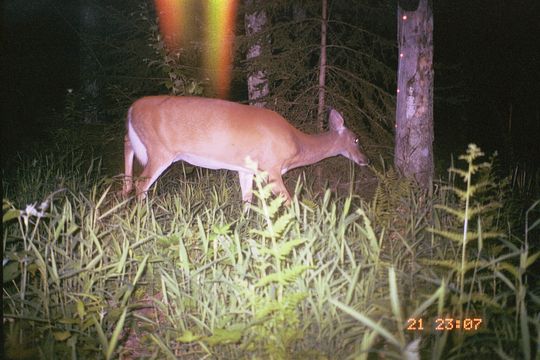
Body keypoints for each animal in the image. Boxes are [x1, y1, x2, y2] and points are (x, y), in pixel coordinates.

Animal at [123, 96, 370, 205]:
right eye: (356, 139)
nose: (366, 160)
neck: (298, 144)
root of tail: (132, 107)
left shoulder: (246, 168)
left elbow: (247, 200)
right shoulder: (271, 167)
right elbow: (289, 202)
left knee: (127, 143)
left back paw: (124, 190)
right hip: (160, 149)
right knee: (142, 184)